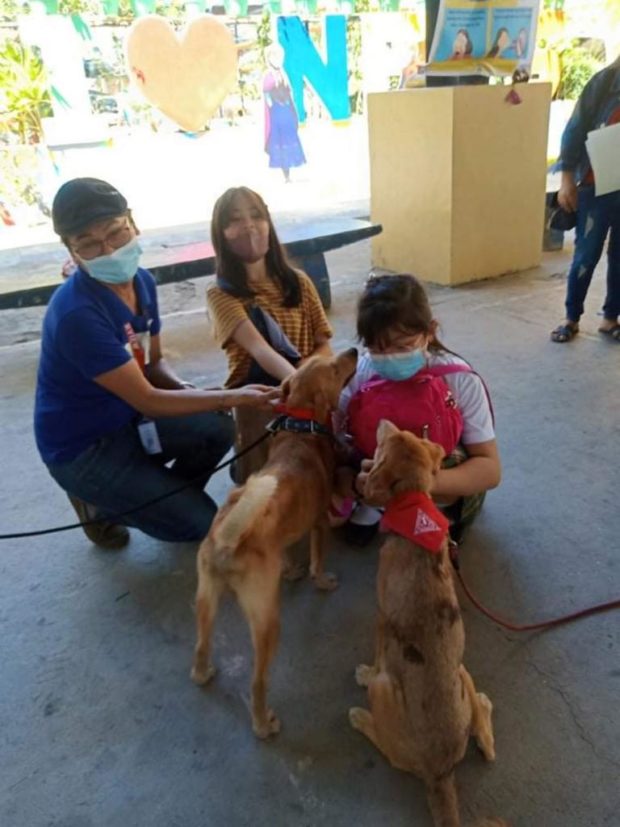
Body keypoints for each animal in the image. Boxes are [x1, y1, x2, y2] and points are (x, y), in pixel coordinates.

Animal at [190, 348, 358, 736]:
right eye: (334, 369)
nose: (354, 350)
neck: (301, 429)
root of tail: (227, 541)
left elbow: (290, 559)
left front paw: (291, 570)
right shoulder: (318, 523)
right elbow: (317, 562)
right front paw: (320, 580)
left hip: (206, 598)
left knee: (201, 647)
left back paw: (203, 673)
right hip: (267, 621)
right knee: (257, 681)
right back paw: (264, 724)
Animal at [348, 420, 504, 827]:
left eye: (387, 442)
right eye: (405, 436)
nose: (383, 422)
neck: (414, 507)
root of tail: (440, 771)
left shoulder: (382, 619)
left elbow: (378, 658)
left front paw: (364, 672)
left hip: (386, 694)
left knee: (388, 746)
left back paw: (361, 718)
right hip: (463, 671)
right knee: (485, 737)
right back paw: (483, 709)